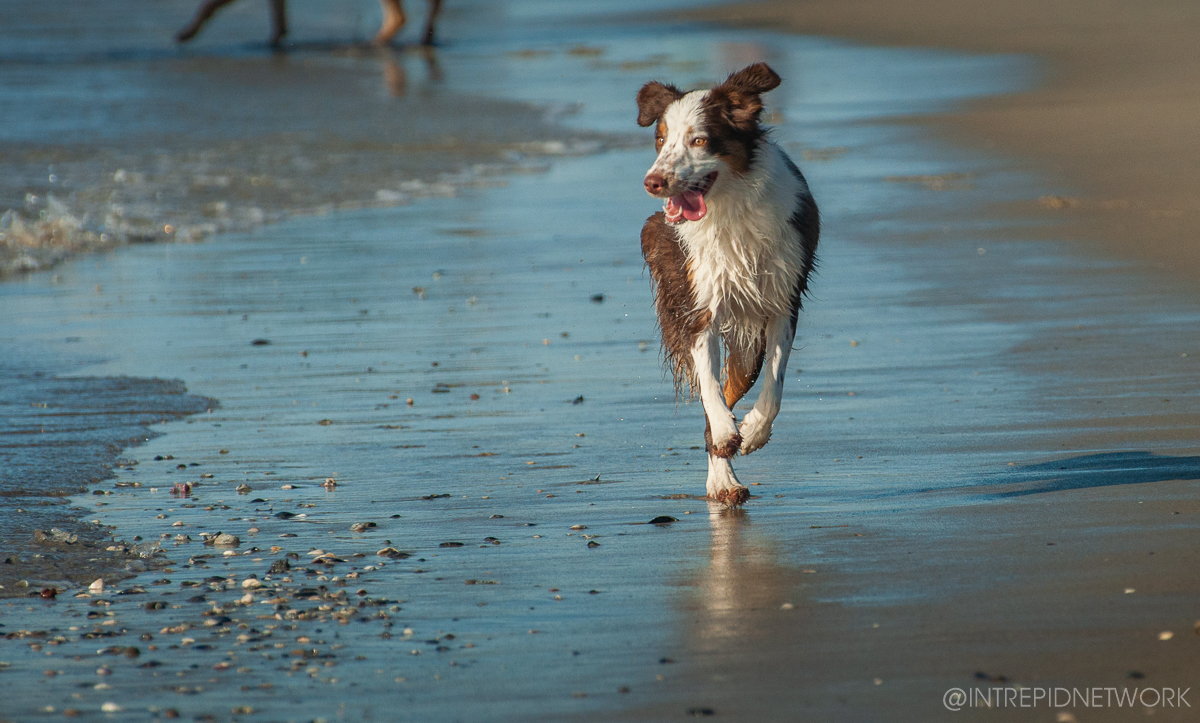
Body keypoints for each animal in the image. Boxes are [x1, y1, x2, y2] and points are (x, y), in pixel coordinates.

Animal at [633, 61, 820, 504]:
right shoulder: (697, 306)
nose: (653, 181)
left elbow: (774, 384)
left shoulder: (783, 301)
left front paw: (753, 432)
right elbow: (709, 386)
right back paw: (723, 480)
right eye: (660, 140)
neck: (729, 209)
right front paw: (726, 431)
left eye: (699, 140)